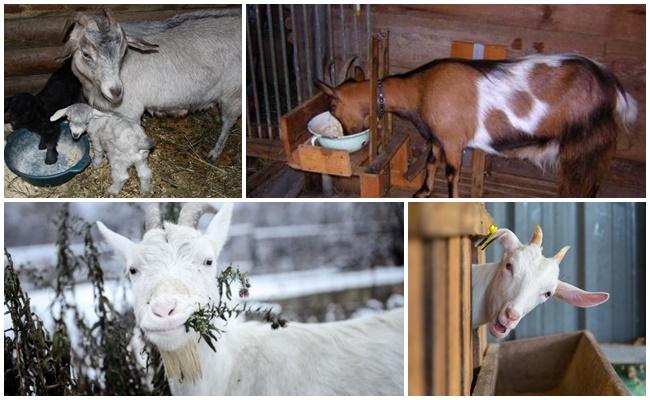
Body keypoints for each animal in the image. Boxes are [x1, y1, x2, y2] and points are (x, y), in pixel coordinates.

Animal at [316, 54, 636, 198]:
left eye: (332, 106)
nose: (348, 134)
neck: (420, 90)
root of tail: (613, 87)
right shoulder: (436, 138)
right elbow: (430, 163)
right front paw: (422, 192)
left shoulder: (452, 140)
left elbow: (452, 174)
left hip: (586, 141)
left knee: (584, 178)